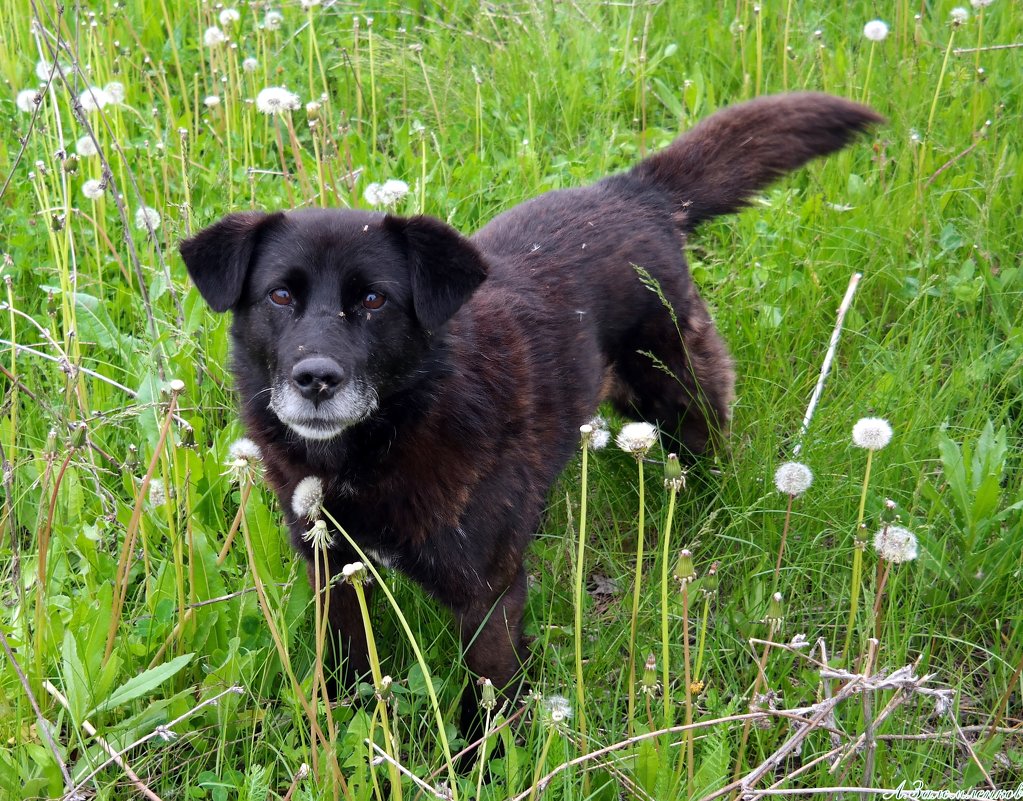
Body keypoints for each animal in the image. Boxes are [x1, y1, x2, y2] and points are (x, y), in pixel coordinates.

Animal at [182, 92, 879, 728]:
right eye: (280, 295)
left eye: (375, 300)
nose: (316, 378)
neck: (389, 436)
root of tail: (634, 192)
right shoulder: (334, 570)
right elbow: (349, 664)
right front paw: (345, 727)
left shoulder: (489, 594)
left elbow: (485, 696)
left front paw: (478, 762)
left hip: (673, 389)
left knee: (704, 451)